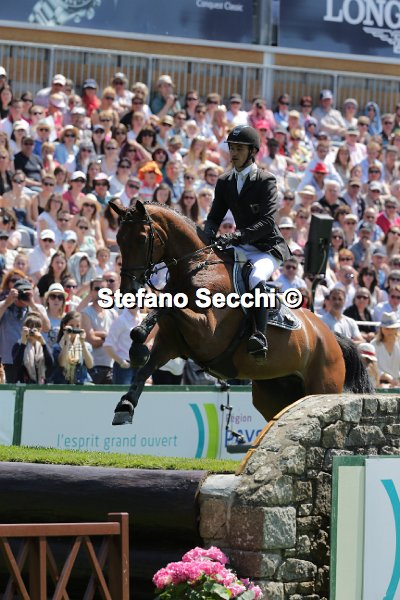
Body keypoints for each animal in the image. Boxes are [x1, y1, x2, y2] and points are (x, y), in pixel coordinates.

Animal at [109, 200, 373, 426]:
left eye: (142, 239)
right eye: (119, 239)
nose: (128, 289)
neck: (195, 266)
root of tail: (331, 337)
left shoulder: (207, 332)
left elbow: (169, 304)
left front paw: (138, 343)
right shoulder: (171, 342)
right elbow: (146, 364)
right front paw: (125, 404)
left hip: (323, 386)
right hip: (274, 392)